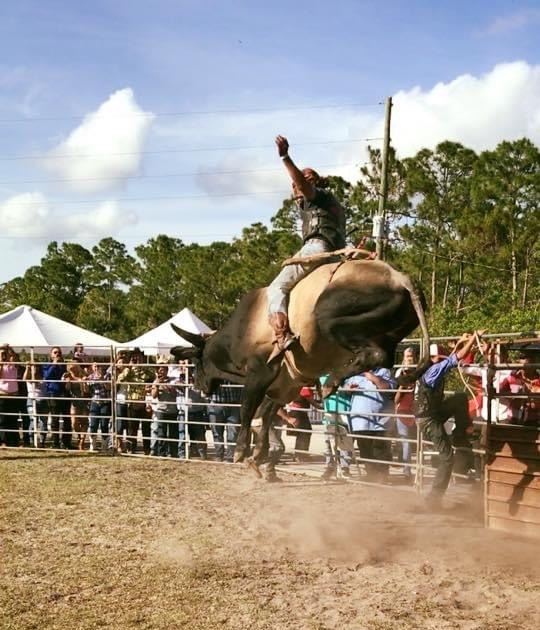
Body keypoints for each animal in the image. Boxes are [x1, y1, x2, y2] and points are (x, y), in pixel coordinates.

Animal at [171, 256, 428, 474]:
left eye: (196, 361)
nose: (198, 386)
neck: (239, 333)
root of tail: (399, 278)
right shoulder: (284, 385)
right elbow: (264, 416)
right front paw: (259, 455)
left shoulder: (260, 372)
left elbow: (248, 410)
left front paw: (241, 450)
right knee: (383, 355)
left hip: (329, 315)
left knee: (374, 353)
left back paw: (332, 381)